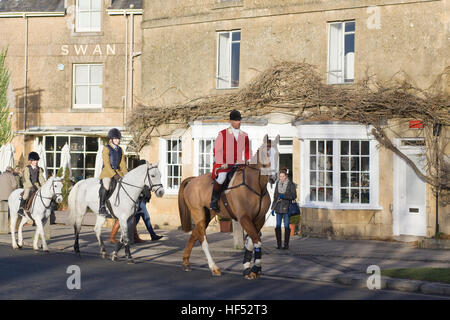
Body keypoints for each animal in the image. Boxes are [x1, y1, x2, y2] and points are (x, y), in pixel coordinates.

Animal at [178, 134, 278, 278]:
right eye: (266, 153)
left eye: (278, 154)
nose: (273, 178)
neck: (256, 186)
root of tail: (193, 180)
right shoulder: (244, 218)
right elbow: (256, 241)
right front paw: (253, 269)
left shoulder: (259, 219)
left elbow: (251, 242)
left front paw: (249, 268)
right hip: (198, 214)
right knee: (203, 240)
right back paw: (213, 267)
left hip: (208, 215)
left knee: (194, 234)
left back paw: (186, 262)